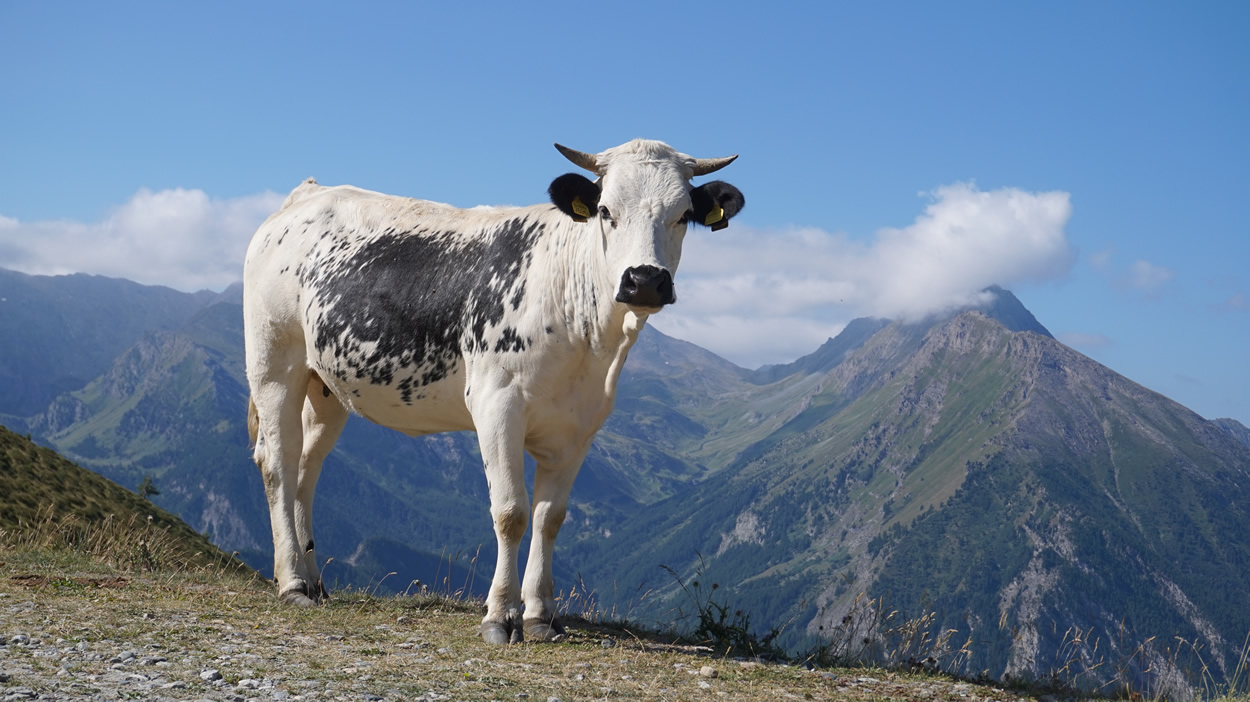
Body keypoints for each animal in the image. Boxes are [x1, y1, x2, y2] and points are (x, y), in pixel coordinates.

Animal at [242, 139, 744, 644]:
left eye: (683, 214)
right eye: (606, 211)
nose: (644, 281)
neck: (586, 334)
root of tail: (308, 193)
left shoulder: (580, 427)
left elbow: (549, 518)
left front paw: (541, 616)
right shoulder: (497, 404)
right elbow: (511, 513)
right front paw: (500, 616)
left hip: (324, 387)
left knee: (306, 468)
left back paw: (314, 580)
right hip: (274, 364)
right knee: (278, 463)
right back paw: (292, 584)